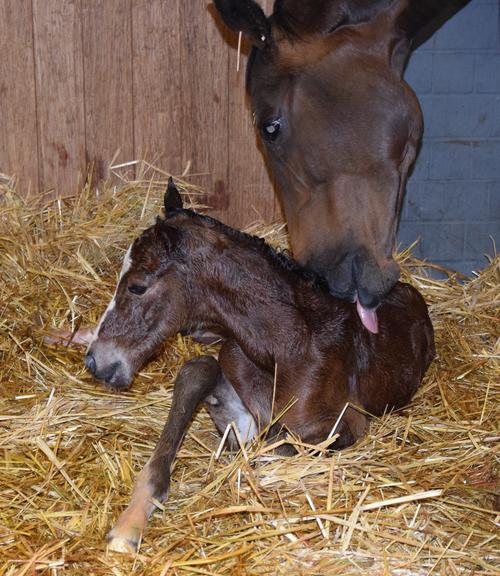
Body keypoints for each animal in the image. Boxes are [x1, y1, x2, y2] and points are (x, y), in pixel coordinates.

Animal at [80, 181, 432, 552]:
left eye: (137, 286)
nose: (95, 360)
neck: (286, 346)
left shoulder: (344, 424)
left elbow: (273, 448)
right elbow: (199, 372)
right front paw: (130, 522)